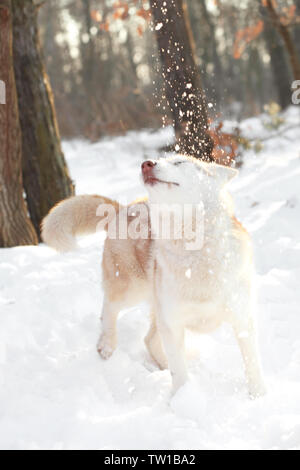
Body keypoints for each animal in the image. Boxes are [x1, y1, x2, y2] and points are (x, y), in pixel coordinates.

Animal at [41, 156, 264, 398]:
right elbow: (180, 372)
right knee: (108, 310)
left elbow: (252, 366)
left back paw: (162, 367)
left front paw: (258, 397)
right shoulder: (172, 325)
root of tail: (123, 208)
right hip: (131, 291)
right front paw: (183, 399)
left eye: (179, 162)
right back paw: (107, 344)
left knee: (148, 340)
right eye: (161, 158)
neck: (196, 258)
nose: (146, 163)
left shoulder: (242, 319)